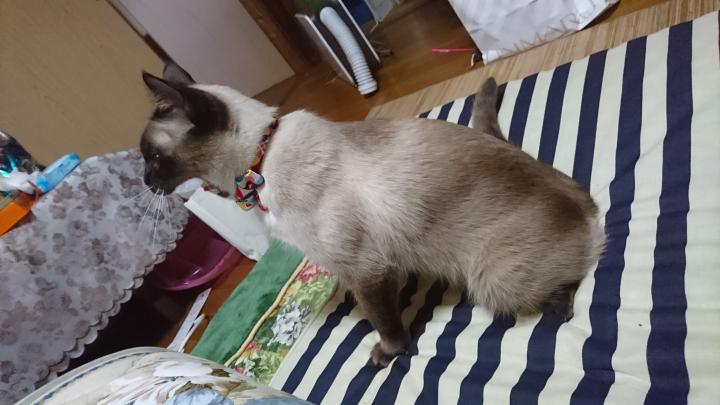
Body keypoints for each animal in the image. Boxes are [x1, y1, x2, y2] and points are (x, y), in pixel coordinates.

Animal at [140, 63, 605, 366]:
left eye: (150, 158)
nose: (144, 181)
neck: (261, 160)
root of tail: (585, 202)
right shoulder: (379, 267)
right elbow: (385, 302)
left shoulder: (365, 268)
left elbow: (383, 320)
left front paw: (388, 353)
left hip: (491, 282)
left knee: (569, 288)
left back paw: (561, 309)